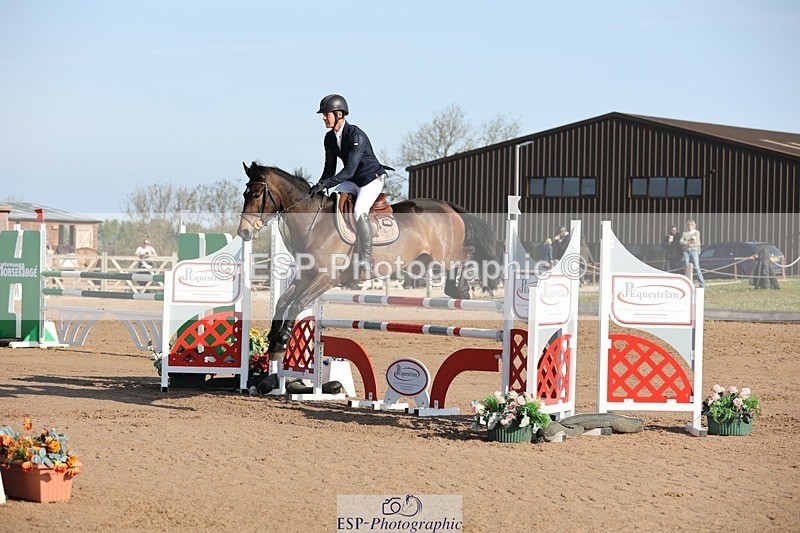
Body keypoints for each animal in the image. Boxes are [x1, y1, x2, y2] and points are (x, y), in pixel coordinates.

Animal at [236, 162, 501, 362]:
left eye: (257, 194)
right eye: (244, 194)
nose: (243, 233)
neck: (314, 223)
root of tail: (447, 204)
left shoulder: (325, 278)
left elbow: (296, 304)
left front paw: (281, 342)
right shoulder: (306, 275)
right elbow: (283, 301)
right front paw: (272, 342)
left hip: (445, 254)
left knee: (468, 254)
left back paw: (462, 288)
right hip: (425, 260)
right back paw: (457, 288)